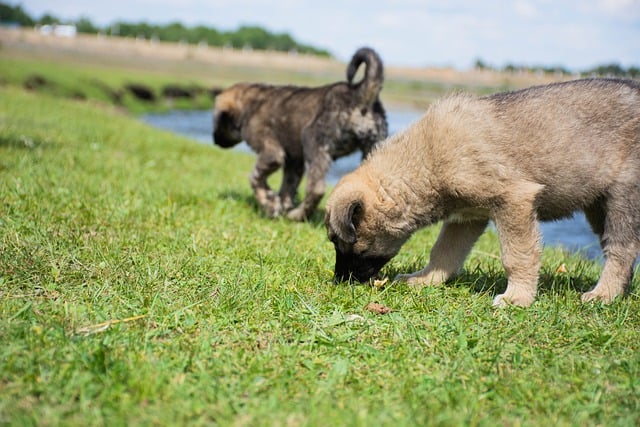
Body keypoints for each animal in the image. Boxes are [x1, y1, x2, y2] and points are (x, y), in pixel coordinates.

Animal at [212, 46, 388, 221]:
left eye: (216, 120)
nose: (215, 141)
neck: (250, 105)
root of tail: (360, 93)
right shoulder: (294, 161)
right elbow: (288, 186)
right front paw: (280, 206)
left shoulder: (272, 153)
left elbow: (255, 178)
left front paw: (269, 203)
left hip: (312, 140)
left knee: (316, 188)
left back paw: (298, 215)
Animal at [324, 78, 640, 308]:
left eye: (342, 243)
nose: (340, 282)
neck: (426, 160)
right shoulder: (467, 217)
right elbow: (444, 252)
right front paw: (427, 279)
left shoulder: (515, 200)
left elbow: (517, 254)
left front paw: (517, 297)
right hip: (598, 206)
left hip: (623, 197)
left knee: (621, 248)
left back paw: (604, 294)